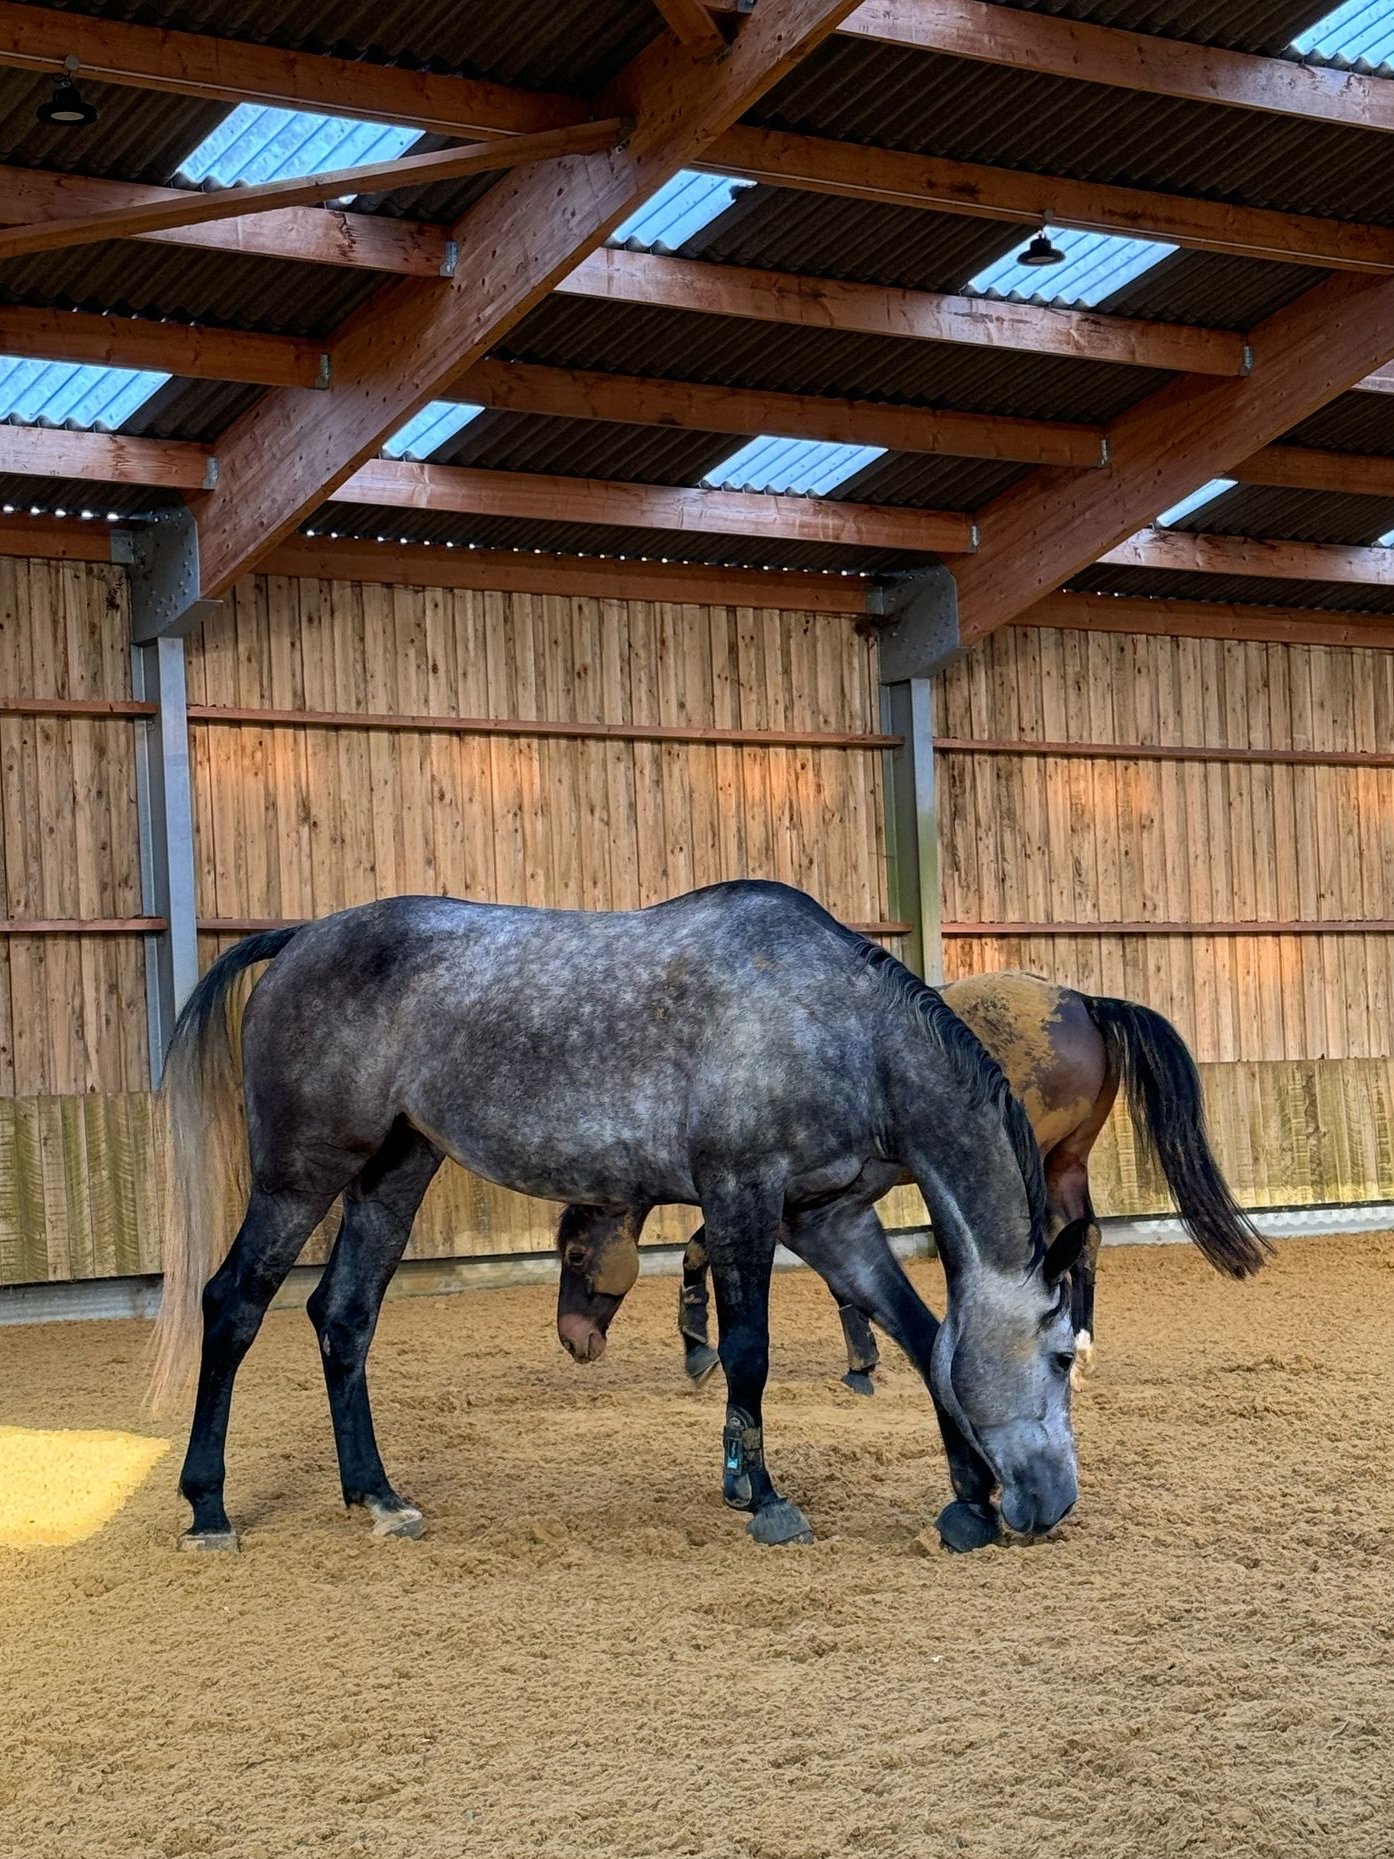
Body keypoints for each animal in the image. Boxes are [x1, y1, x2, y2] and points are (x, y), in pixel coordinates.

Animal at [155, 884, 1092, 1554]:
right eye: (1059, 1355)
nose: (1051, 1504)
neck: (836, 1025)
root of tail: (300, 937)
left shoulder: (829, 1221)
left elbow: (925, 1337)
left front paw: (966, 1501)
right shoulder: (744, 1196)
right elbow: (748, 1352)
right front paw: (767, 1500)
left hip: (394, 1171)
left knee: (344, 1316)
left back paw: (378, 1496)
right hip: (301, 1173)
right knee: (233, 1303)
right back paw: (209, 1507)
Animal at [561, 974, 1278, 1383]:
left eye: (573, 1252)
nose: (573, 1340)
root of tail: (1081, 1001)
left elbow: (698, 1248)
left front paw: (696, 1350)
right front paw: (862, 1359)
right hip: (1063, 1161)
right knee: (1086, 1239)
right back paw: (1078, 1346)